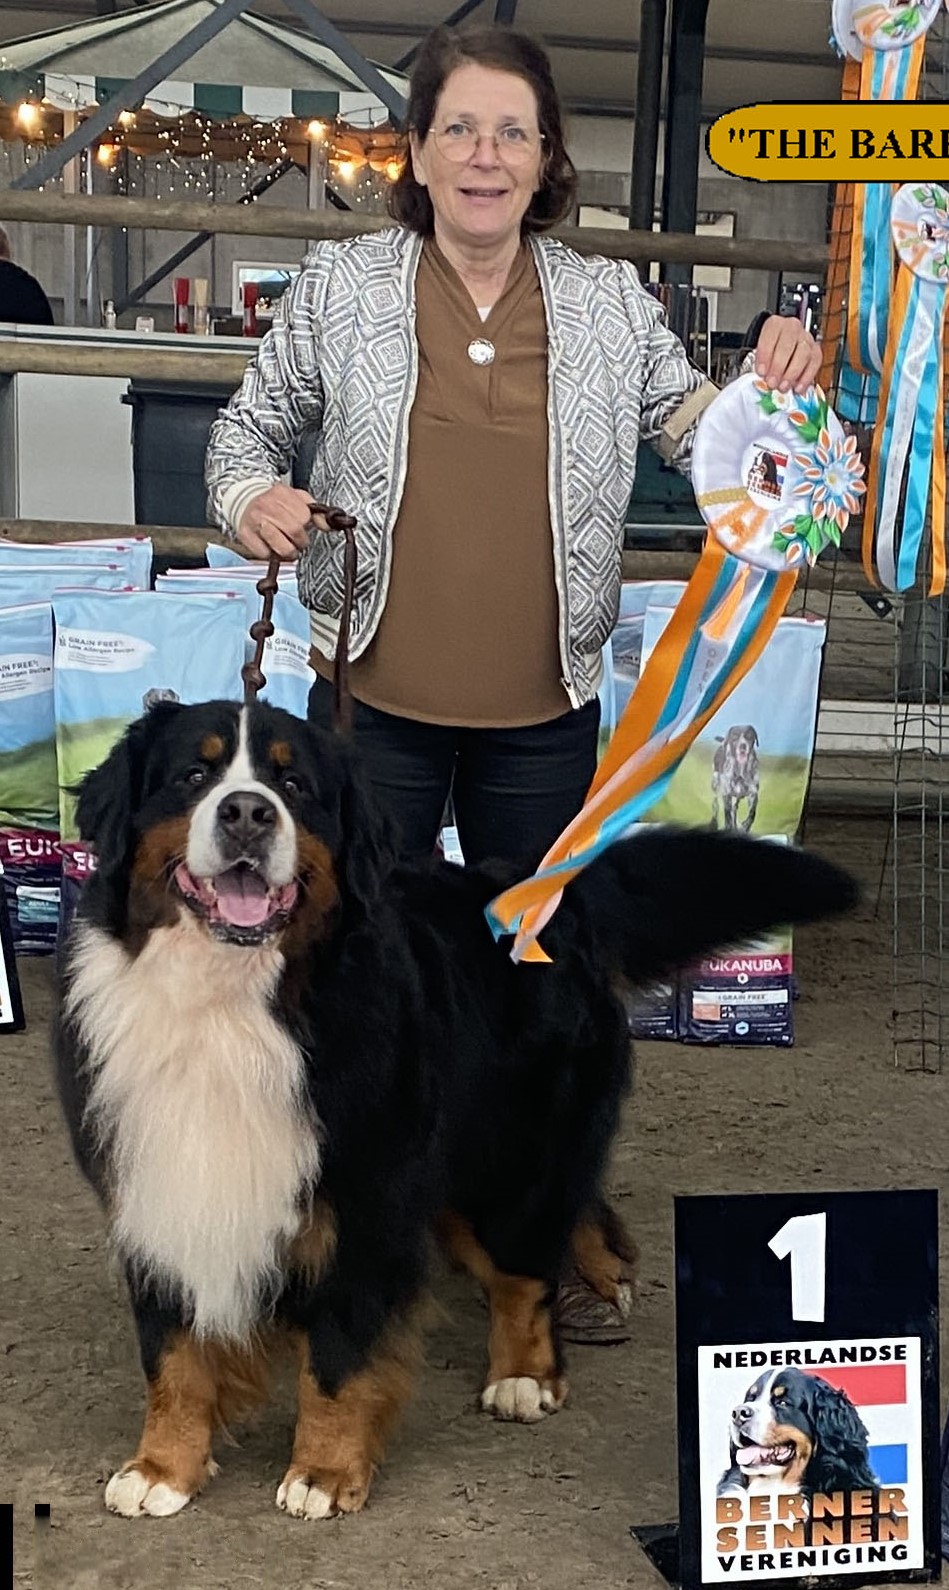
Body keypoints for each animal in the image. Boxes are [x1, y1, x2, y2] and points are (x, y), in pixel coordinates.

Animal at [53, 699, 856, 1522]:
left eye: (293, 784)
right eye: (194, 775)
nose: (248, 812)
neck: (227, 1001)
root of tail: (539, 894)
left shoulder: (366, 1200)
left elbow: (338, 1354)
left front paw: (323, 1472)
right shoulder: (157, 1187)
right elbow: (173, 1354)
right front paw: (163, 1468)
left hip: (505, 1153)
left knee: (526, 1262)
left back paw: (524, 1374)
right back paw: (607, 1266)